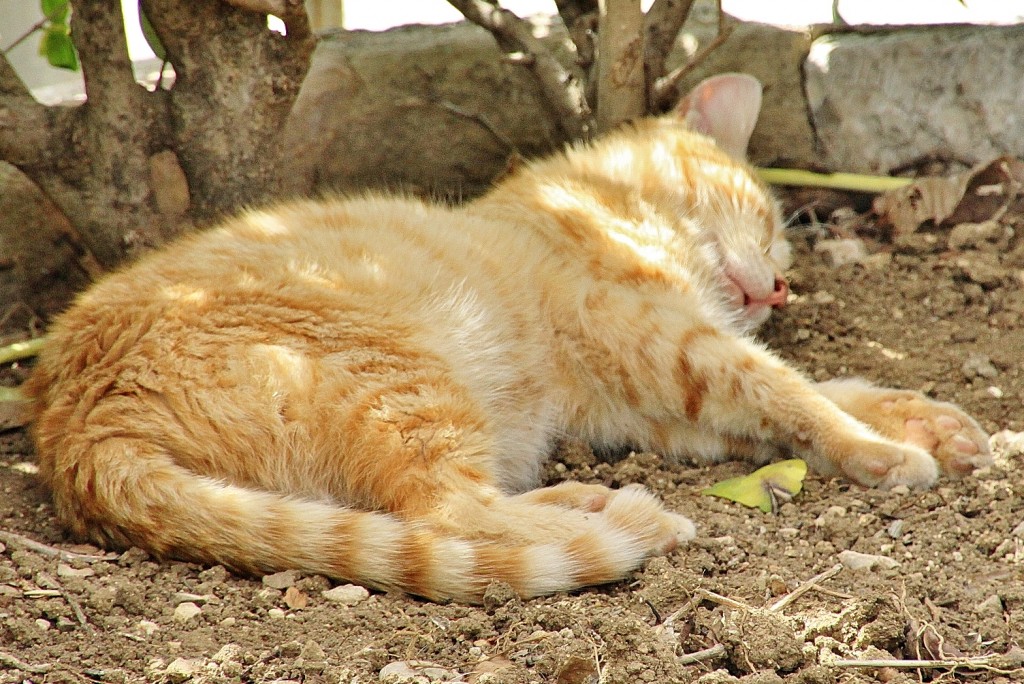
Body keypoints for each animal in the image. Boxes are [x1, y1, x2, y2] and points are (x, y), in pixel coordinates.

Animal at [24, 72, 987, 602]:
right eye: (771, 219)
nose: (782, 287)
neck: (590, 207)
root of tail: (72, 431)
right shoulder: (674, 345)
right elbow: (791, 389)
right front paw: (886, 452)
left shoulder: (667, 404)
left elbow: (821, 392)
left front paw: (932, 422)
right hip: (405, 379)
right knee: (450, 512)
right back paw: (617, 513)